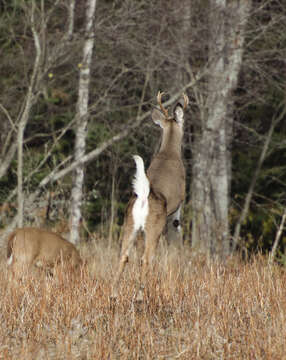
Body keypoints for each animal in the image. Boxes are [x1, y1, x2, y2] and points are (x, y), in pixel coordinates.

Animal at [112, 91, 190, 296]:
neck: (169, 153)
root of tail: (143, 195)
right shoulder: (178, 203)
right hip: (154, 226)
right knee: (146, 259)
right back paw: (139, 296)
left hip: (130, 224)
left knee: (123, 256)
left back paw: (113, 296)